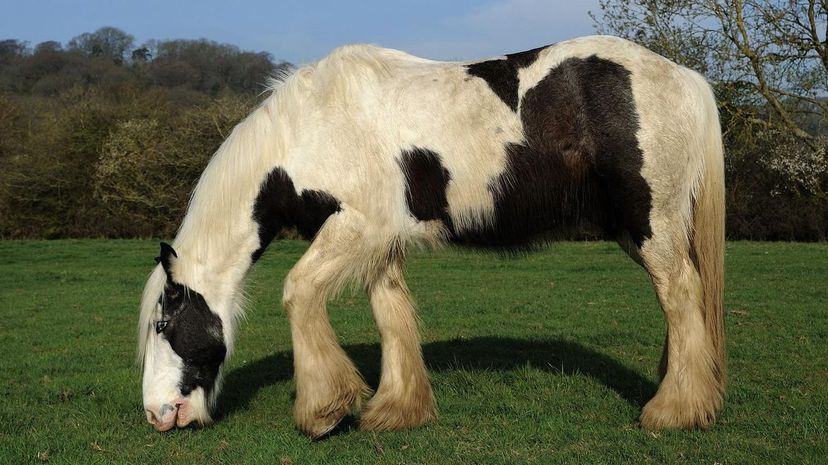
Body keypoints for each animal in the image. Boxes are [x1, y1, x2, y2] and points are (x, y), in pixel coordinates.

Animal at [136, 35, 724, 436]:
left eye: (164, 323)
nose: (158, 413)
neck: (311, 129)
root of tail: (685, 77)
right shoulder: (379, 242)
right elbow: (391, 314)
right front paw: (397, 409)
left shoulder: (356, 228)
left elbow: (299, 292)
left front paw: (323, 411)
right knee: (684, 301)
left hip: (651, 223)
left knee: (679, 292)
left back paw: (675, 409)